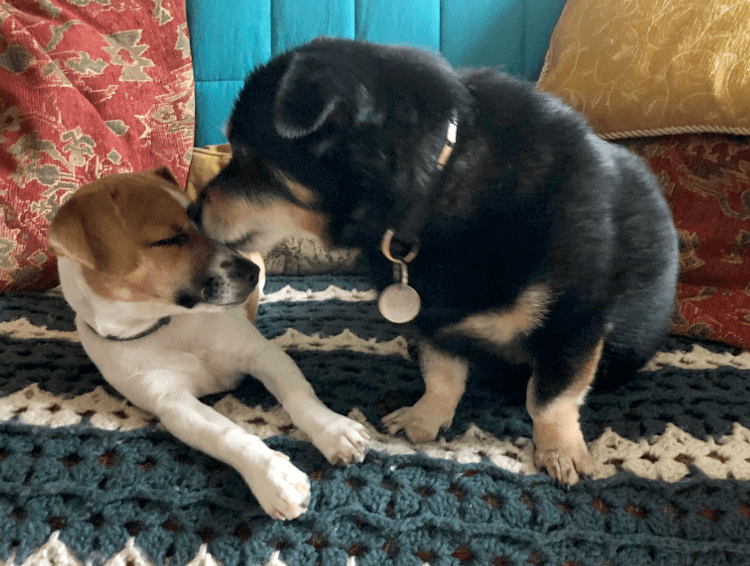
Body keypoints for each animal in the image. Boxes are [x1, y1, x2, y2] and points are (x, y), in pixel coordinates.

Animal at [47, 169, 370, 524]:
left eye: (198, 221)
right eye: (168, 240)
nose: (250, 273)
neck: (168, 324)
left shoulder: (263, 355)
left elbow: (300, 397)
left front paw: (335, 430)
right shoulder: (172, 403)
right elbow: (226, 434)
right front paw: (273, 477)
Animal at [189, 37, 680, 486]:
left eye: (247, 157)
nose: (192, 211)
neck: (434, 186)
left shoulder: (574, 319)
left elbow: (549, 397)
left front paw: (559, 449)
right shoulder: (433, 320)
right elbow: (443, 374)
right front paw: (425, 417)